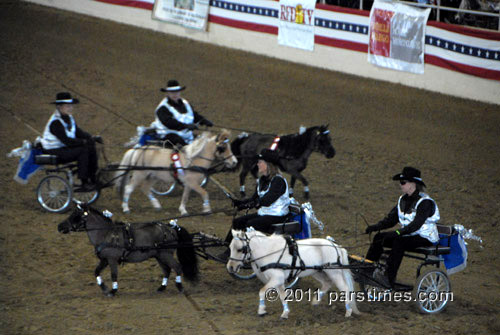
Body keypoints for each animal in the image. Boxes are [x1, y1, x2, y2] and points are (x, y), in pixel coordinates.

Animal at [57, 203, 198, 298]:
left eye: (76, 216)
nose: (59, 227)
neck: (106, 234)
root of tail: (172, 228)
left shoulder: (112, 259)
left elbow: (114, 274)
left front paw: (113, 291)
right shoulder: (104, 259)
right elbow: (96, 272)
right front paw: (104, 288)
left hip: (166, 255)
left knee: (177, 267)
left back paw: (180, 287)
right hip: (159, 256)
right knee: (167, 270)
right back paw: (161, 287)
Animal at [227, 231, 360, 320]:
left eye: (240, 249)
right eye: (230, 247)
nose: (230, 267)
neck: (269, 251)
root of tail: (335, 246)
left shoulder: (276, 278)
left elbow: (262, 291)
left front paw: (261, 311)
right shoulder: (279, 280)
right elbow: (282, 296)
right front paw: (285, 313)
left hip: (334, 272)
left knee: (345, 288)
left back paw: (348, 311)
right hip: (317, 271)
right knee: (327, 283)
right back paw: (315, 302)